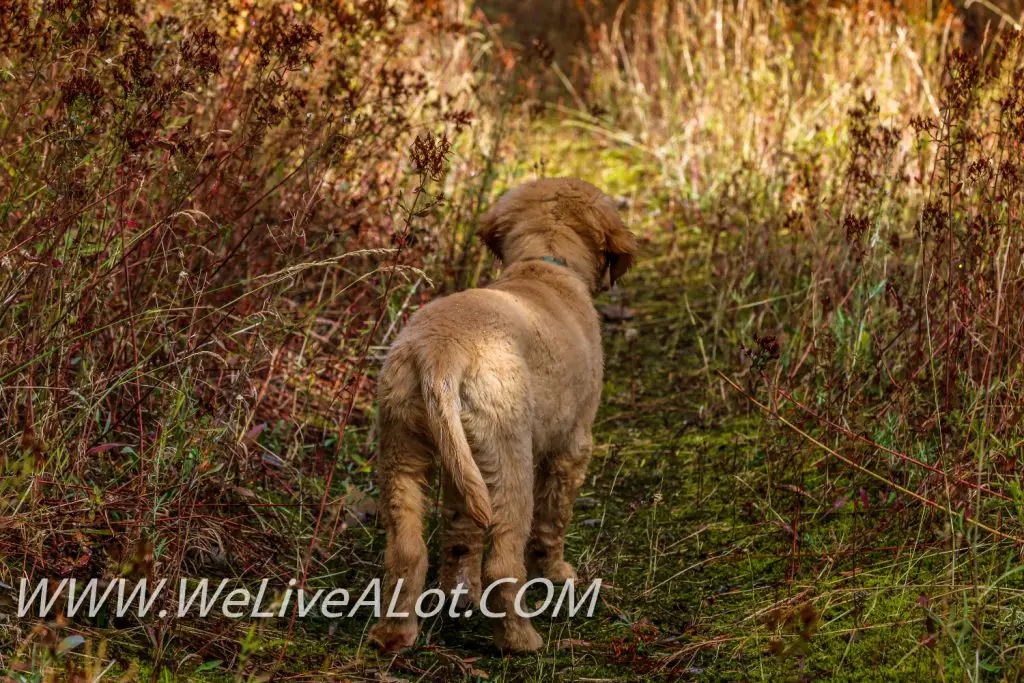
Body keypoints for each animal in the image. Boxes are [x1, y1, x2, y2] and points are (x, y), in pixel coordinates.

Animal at [368, 176, 630, 651]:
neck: (545, 263)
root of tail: (440, 352)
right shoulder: (574, 444)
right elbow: (553, 520)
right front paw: (557, 573)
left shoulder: (464, 467)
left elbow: (460, 533)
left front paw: (460, 595)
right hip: (509, 455)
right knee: (504, 564)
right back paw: (520, 640)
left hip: (403, 445)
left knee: (407, 550)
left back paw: (394, 634)